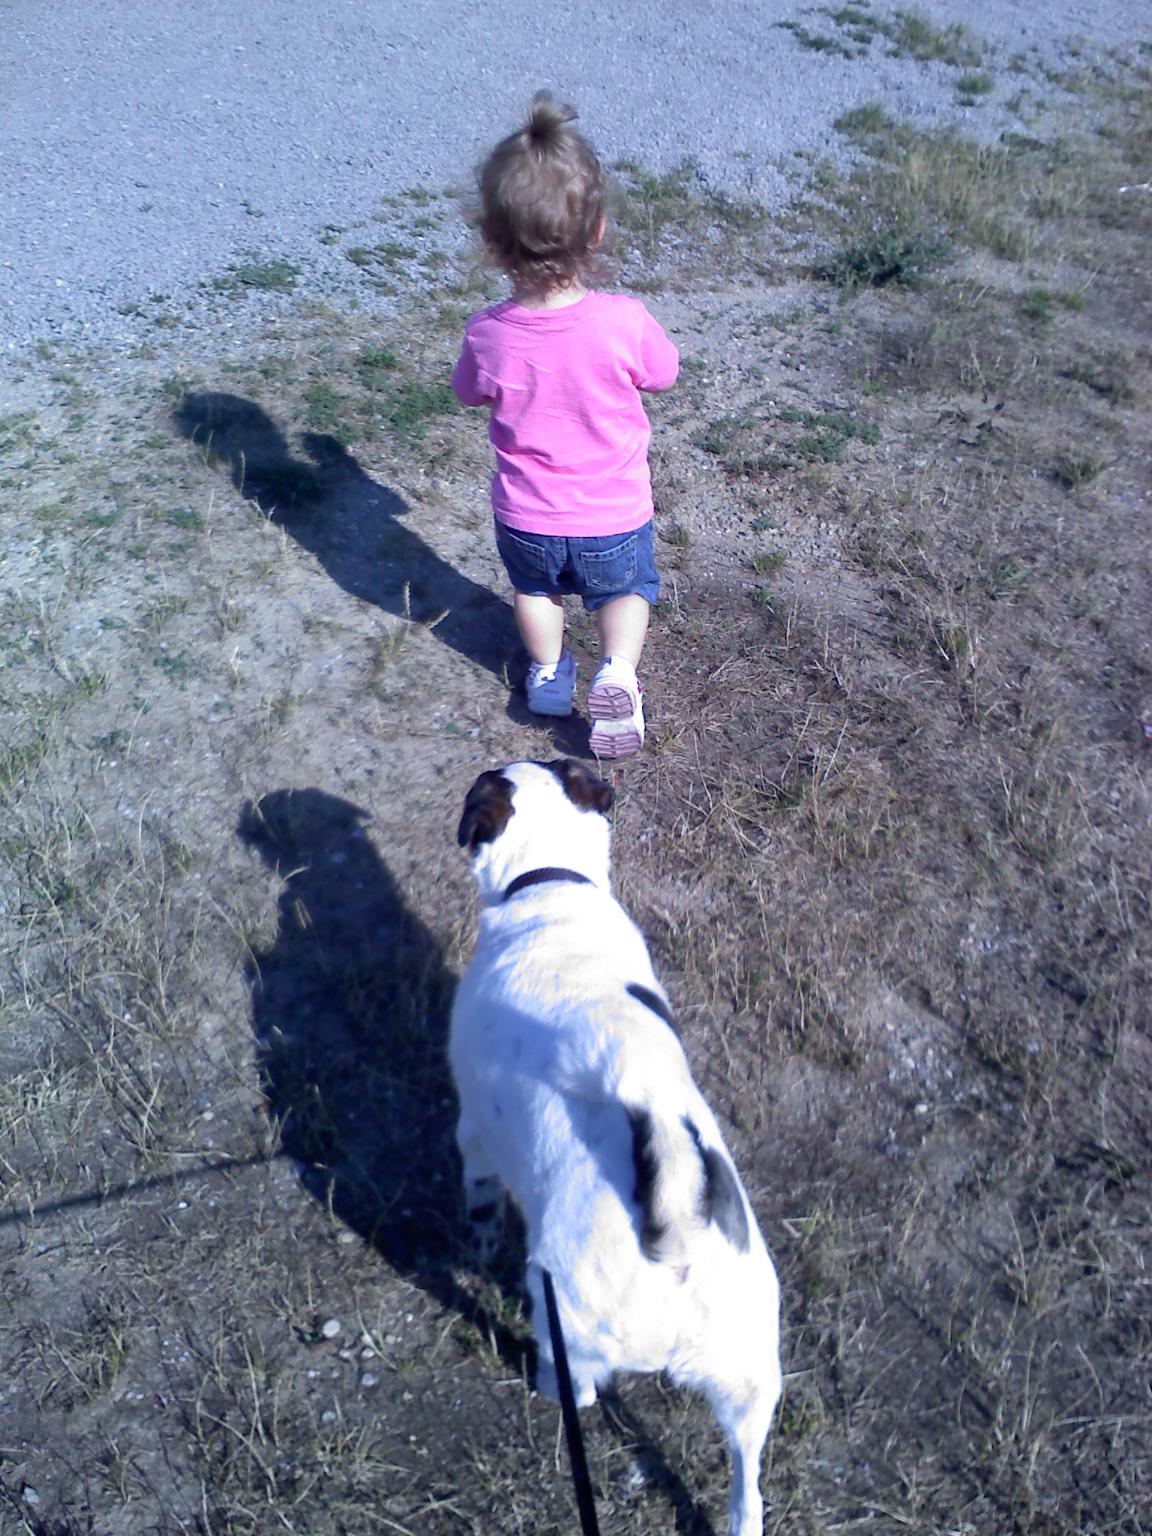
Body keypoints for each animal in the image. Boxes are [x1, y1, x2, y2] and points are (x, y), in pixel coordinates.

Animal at [450, 758, 782, 1536]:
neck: (550, 883)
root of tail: (677, 1236)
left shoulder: (473, 1131)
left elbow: (478, 1205)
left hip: (570, 1324)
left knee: (577, 1387)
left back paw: (546, 1386)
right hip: (751, 1380)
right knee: (747, 1488)